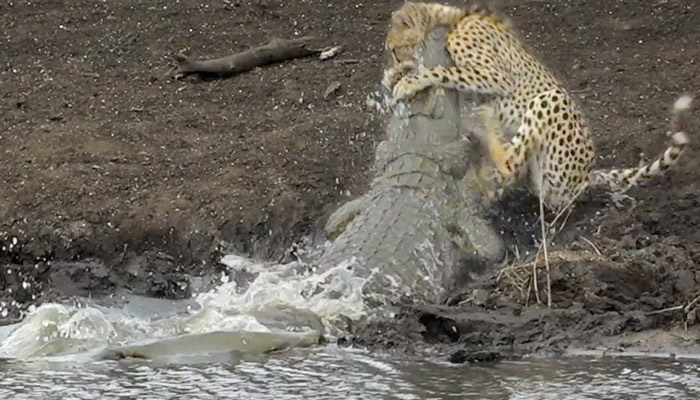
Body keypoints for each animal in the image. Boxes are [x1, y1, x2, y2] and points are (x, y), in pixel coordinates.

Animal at [382, 2, 688, 212]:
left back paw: (485, 129)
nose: (392, 57)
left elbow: (441, 71)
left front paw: (408, 81)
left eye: (395, 49)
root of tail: (587, 175)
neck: (450, 21)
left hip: (551, 102)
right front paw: (392, 76)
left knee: (509, 162)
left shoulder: (495, 76)